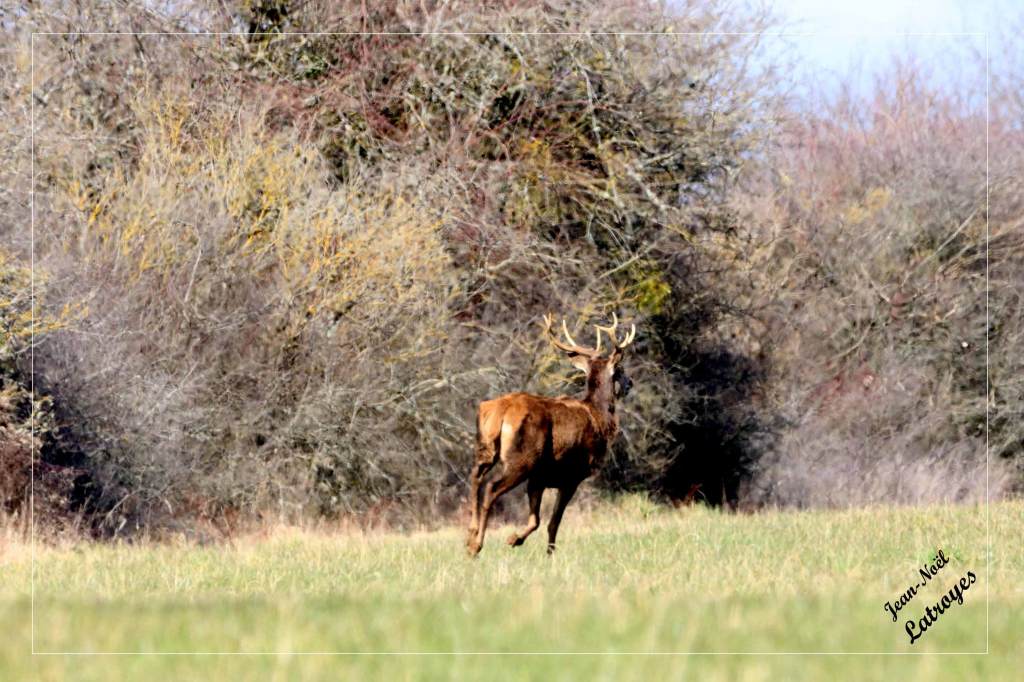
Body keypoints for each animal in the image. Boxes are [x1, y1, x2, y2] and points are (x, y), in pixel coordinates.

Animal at [465, 313, 636, 556]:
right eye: (620, 369)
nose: (630, 382)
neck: (599, 417)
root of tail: (502, 411)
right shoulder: (572, 476)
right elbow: (553, 522)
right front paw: (546, 552)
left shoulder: (539, 478)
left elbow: (535, 520)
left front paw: (516, 539)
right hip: (522, 459)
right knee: (491, 488)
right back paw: (476, 546)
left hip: (486, 449)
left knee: (475, 477)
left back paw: (470, 535)